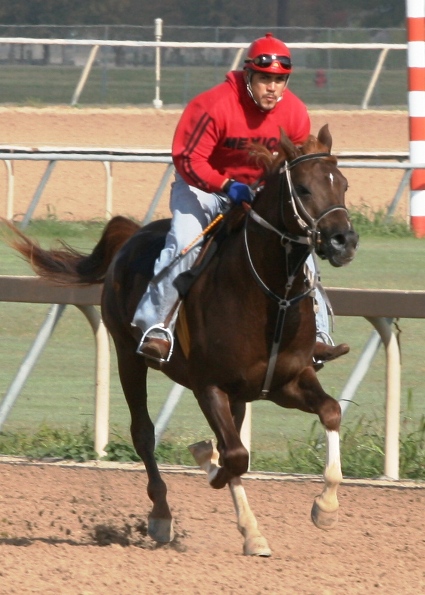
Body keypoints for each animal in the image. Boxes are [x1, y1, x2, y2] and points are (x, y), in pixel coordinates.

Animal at [6, 125, 358, 560]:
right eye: (305, 189)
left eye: (343, 184)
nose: (344, 240)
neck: (270, 297)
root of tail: (132, 233)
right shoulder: (209, 385)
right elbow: (234, 456)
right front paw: (215, 473)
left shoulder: (286, 380)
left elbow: (329, 412)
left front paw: (325, 508)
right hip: (128, 355)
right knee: (144, 432)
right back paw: (161, 514)